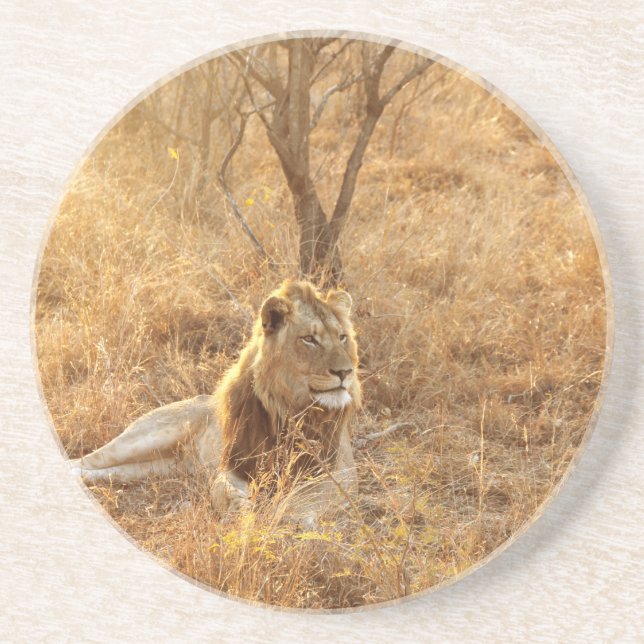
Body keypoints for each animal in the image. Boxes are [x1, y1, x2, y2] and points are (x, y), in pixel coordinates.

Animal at [70, 280, 361, 524]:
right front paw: (240, 509)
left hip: (158, 467)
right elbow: (220, 488)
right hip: (145, 438)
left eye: (342, 337)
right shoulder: (234, 464)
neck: (290, 408)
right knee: (85, 460)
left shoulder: (341, 470)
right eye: (309, 339)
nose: (345, 372)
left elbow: (309, 494)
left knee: (107, 472)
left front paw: (286, 515)